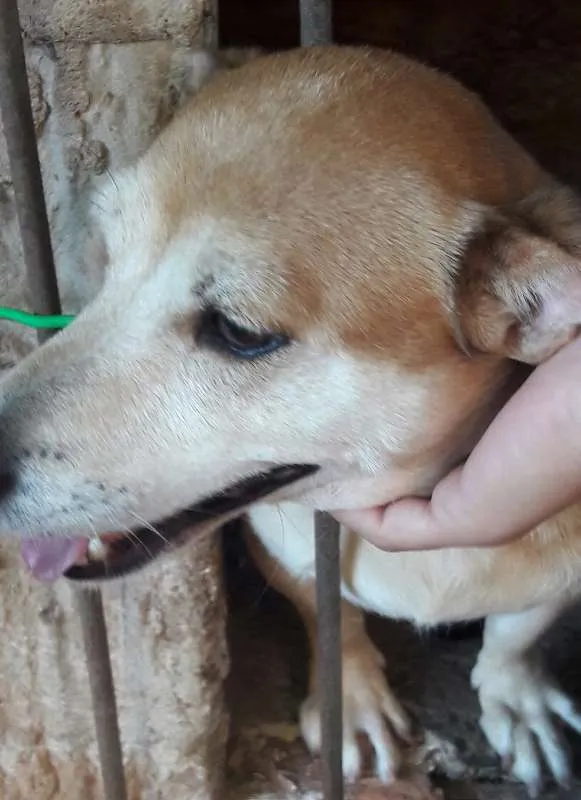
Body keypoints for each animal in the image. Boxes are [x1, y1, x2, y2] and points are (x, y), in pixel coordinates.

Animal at [1, 47, 580, 796]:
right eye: (110, 258)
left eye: (240, 333)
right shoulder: (286, 550)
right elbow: (329, 618)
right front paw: (350, 701)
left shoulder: (561, 572)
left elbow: (516, 630)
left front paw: (514, 695)